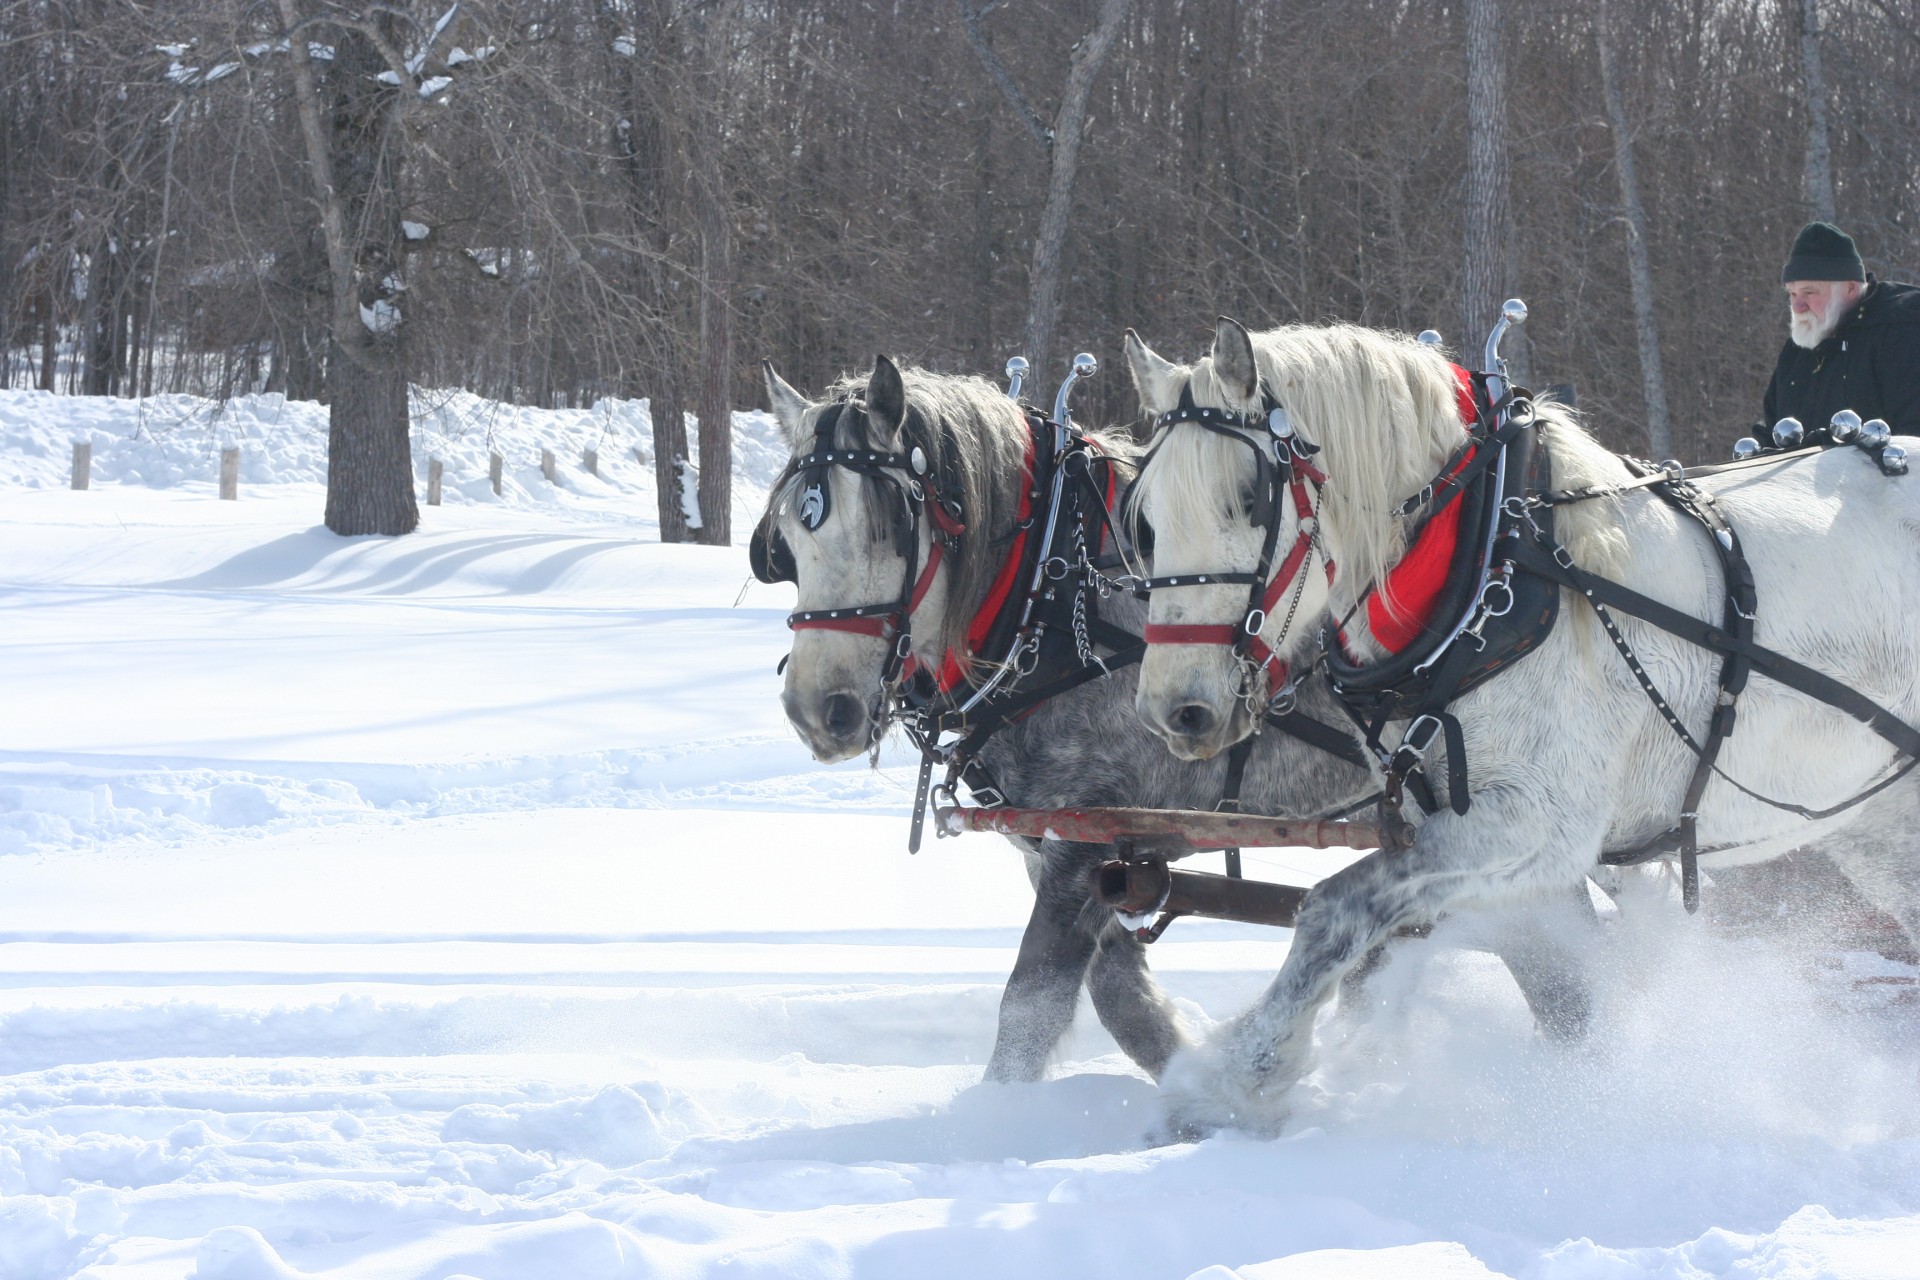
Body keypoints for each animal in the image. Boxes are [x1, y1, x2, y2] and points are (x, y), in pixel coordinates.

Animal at [1121, 314, 1920, 1136]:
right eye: (1144, 521)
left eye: (1249, 498)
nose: (1175, 708)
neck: (1486, 567)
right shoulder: (1491, 848)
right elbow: (1565, 1002)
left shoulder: (1539, 824)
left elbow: (1333, 912)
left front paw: (1232, 1080)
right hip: (1882, 824)